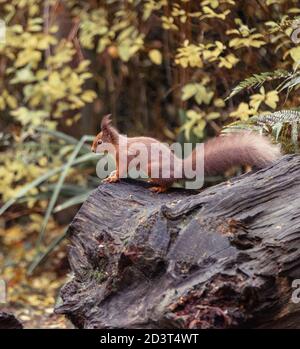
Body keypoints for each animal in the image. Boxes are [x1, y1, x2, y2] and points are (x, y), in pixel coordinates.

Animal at [91, 114, 282, 192]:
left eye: (99, 142)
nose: (92, 150)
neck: (117, 145)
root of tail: (180, 167)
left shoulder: (124, 156)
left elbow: (122, 170)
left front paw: (113, 177)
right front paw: (112, 174)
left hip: (154, 167)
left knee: (169, 184)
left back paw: (159, 187)